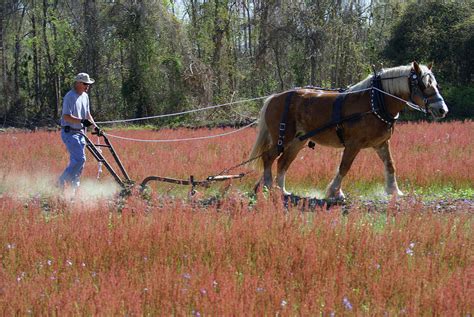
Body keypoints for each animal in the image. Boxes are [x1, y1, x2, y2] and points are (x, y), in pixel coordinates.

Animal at [248, 61, 448, 200]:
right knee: (269, 158)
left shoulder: (381, 143)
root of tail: (275, 97)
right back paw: (268, 186)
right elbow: (344, 167)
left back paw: (281, 190)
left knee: (283, 162)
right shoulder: (353, 144)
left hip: (298, 141)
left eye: (436, 84)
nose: (442, 110)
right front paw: (334, 192)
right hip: (283, 138)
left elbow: (390, 165)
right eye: (424, 85)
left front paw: (394, 191)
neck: (374, 101)